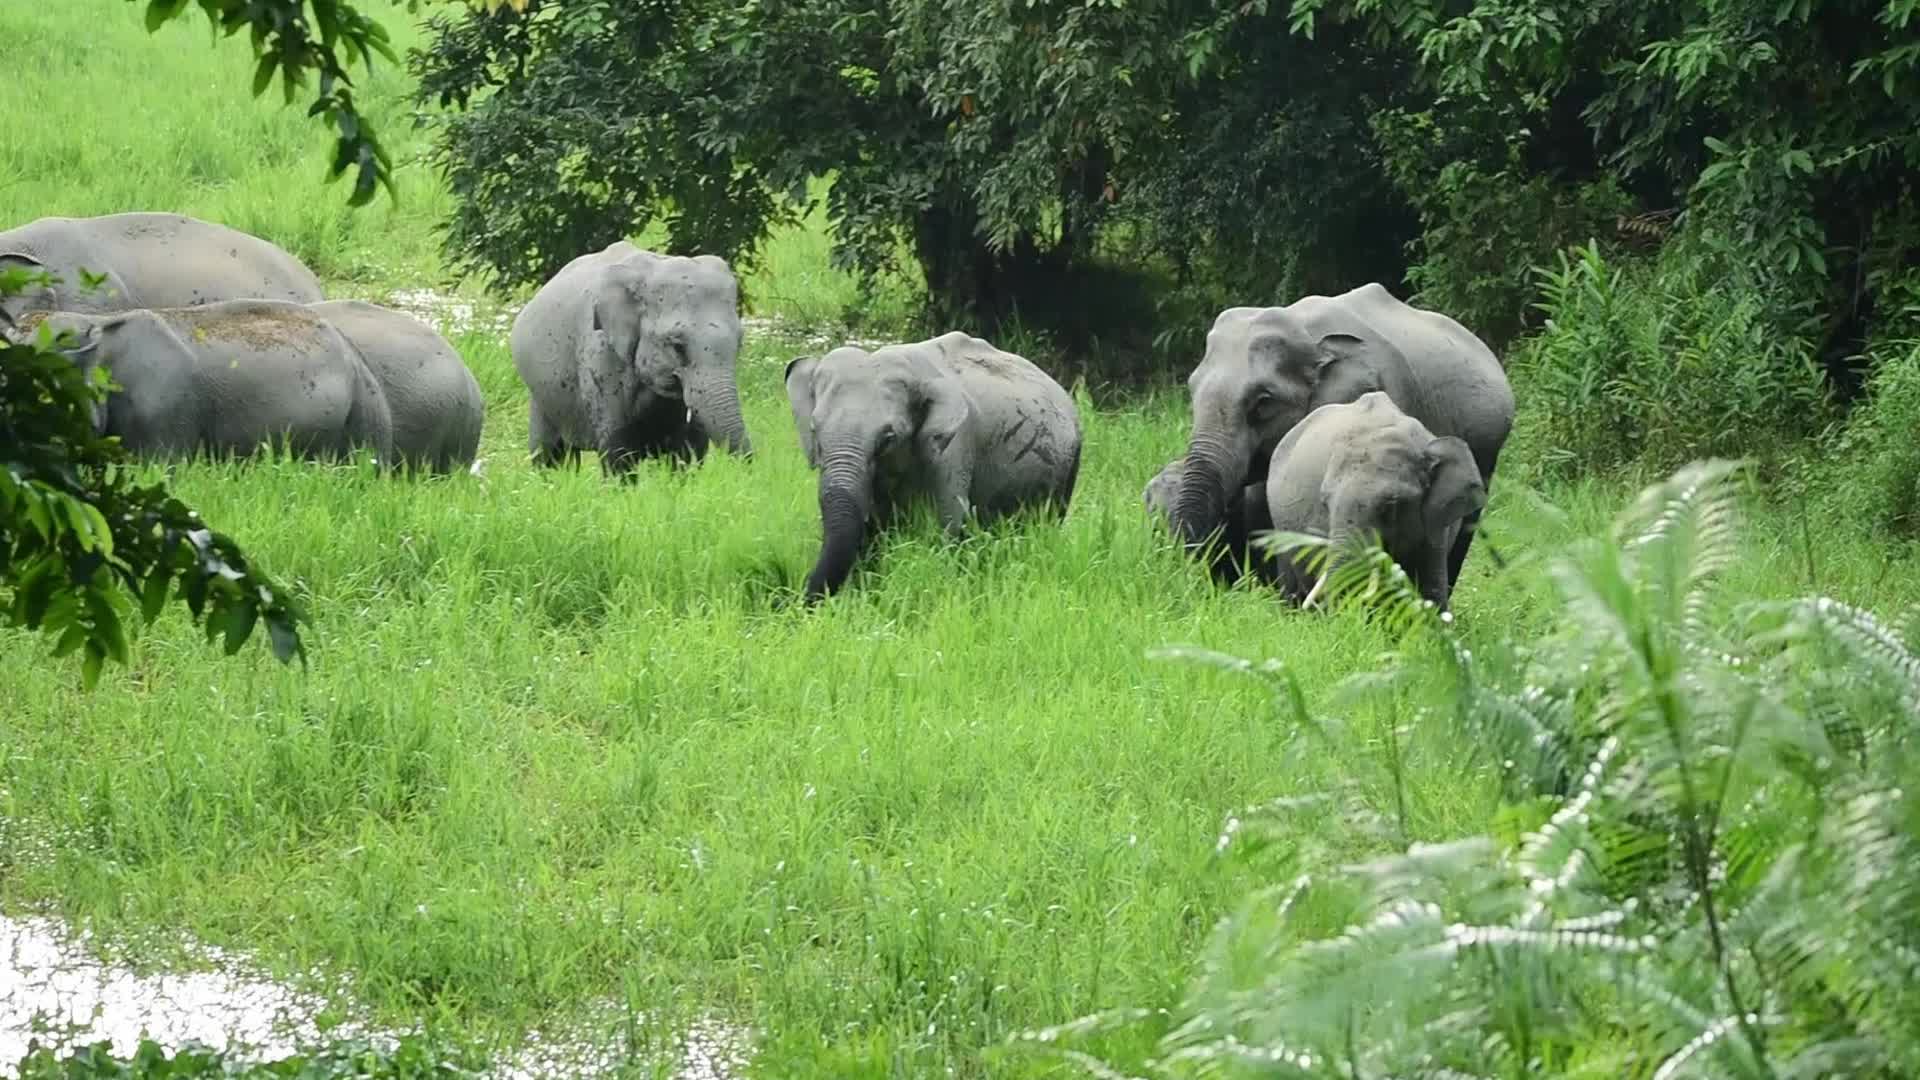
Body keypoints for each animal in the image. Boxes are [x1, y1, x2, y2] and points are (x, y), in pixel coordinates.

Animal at [508, 240, 751, 474]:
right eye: (677, 346)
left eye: (739, 343)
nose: (749, 466)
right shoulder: (601, 356)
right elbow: (618, 450)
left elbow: (687, 453)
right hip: (540, 396)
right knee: (550, 455)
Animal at [785, 331, 1084, 601]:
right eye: (814, 431)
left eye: (888, 438)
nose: (800, 602)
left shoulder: (954, 447)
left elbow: (944, 522)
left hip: (1069, 465)